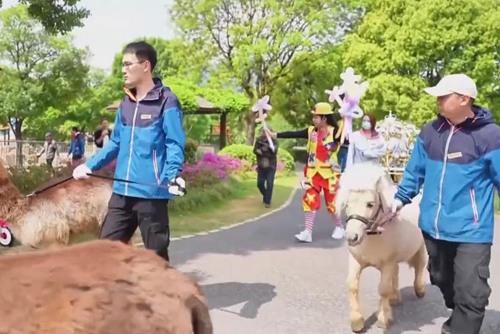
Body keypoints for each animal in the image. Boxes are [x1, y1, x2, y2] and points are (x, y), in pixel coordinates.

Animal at [336, 162, 426, 332]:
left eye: (370, 204)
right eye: (347, 204)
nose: (352, 237)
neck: (373, 234)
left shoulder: (387, 263)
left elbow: (383, 289)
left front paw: (383, 319)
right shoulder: (356, 260)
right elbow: (352, 285)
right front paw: (357, 321)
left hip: (421, 248)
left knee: (420, 266)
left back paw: (419, 289)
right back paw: (395, 298)